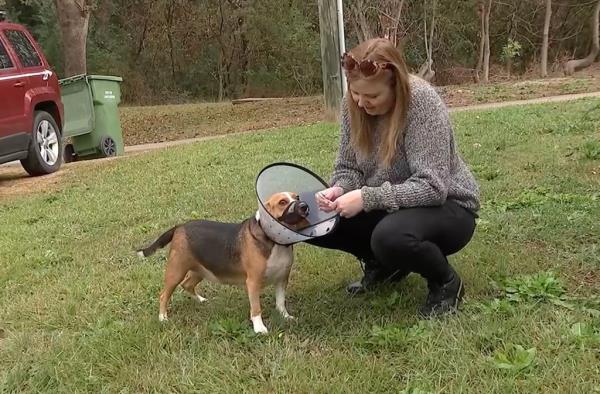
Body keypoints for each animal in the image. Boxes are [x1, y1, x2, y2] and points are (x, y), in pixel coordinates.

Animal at [137, 192, 310, 334]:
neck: (275, 242)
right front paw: (259, 328)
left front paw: (286, 317)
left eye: (297, 197)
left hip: (200, 270)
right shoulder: (253, 282)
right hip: (176, 270)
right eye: (282, 202)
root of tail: (179, 227)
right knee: (163, 295)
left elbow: (281, 302)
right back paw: (163, 318)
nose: (304, 206)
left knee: (187, 284)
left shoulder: (282, 278)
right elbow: (256, 309)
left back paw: (200, 300)